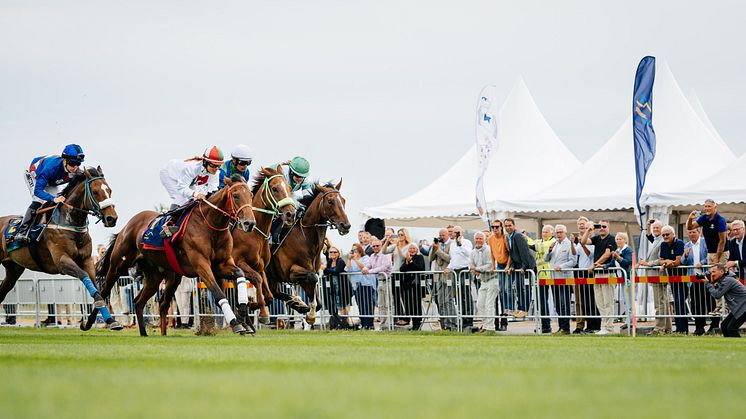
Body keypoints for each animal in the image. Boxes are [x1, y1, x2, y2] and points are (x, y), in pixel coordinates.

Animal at [0, 167, 119, 328]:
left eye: (109, 190)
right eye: (95, 192)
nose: (112, 218)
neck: (69, 223)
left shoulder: (87, 260)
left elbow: (96, 286)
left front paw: (106, 321)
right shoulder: (62, 261)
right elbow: (84, 276)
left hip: (13, 269)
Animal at [92, 175, 256, 338]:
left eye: (250, 195)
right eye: (235, 196)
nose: (249, 223)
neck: (210, 226)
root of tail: (126, 227)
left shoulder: (222, 264)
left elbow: (240, 274)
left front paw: (243, 312)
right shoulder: (201, 265)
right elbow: (218, 293)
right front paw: (236, 324)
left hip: (160, 276)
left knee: (144, 302)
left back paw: (147, 333)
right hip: (118, 265)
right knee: (104, 291)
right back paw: (96, 324)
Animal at [231, 166, 294, 326]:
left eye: (289, 188)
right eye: (275, 188)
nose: (291, 214)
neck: (254, 233)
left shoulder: (261, 266)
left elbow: (269, 295)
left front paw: (252, 305)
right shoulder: (239, 262)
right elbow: (257, 279)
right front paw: (262, 312)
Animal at [266, 180, 350, 324]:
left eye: (343, 200)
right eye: (330, 201)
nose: (346, 225)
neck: (304, 237)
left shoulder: (307, 273)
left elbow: (318, 298)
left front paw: (305, 310)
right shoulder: (291, 272)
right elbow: (313, 277)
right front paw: (308, 312)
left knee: (274, 292)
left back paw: (296, 302)